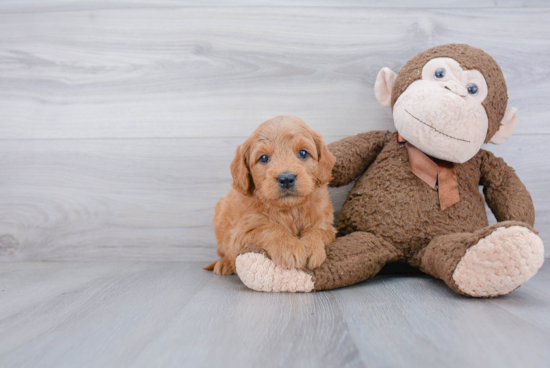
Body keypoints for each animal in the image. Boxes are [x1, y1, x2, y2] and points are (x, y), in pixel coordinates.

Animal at [206, 116, 338, 274]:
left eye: (303, 153)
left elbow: (317, 230)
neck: (289, 210)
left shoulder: (327, 224)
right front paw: (289, 247)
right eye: (263, 158)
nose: (286, 178)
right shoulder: (240, 234)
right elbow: (268, 228)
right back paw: (225, 264)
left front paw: (311, 247)